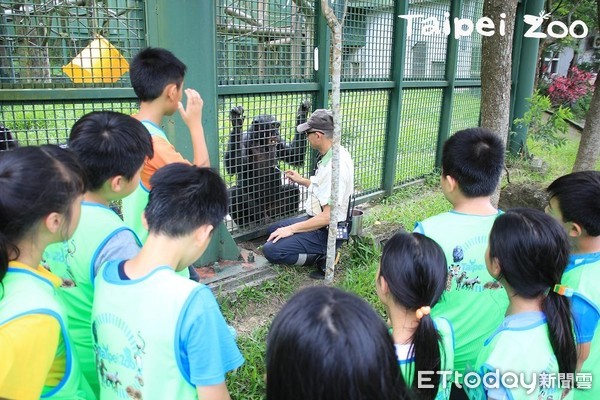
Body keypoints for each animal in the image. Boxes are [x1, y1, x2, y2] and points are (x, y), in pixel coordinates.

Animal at [224, 100, 312, 228]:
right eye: (272, 125)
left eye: (277, 125)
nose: (276, 131)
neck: (260, 141)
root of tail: (266, 215)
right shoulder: (245, 139)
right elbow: (235, 165)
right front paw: (236, 122)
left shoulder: (279, 141)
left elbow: (294, 155)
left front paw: (303, 112)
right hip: (257, 212)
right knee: (234, 193)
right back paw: (247, 224)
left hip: (274, 207)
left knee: (293, 189)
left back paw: (288, 216)